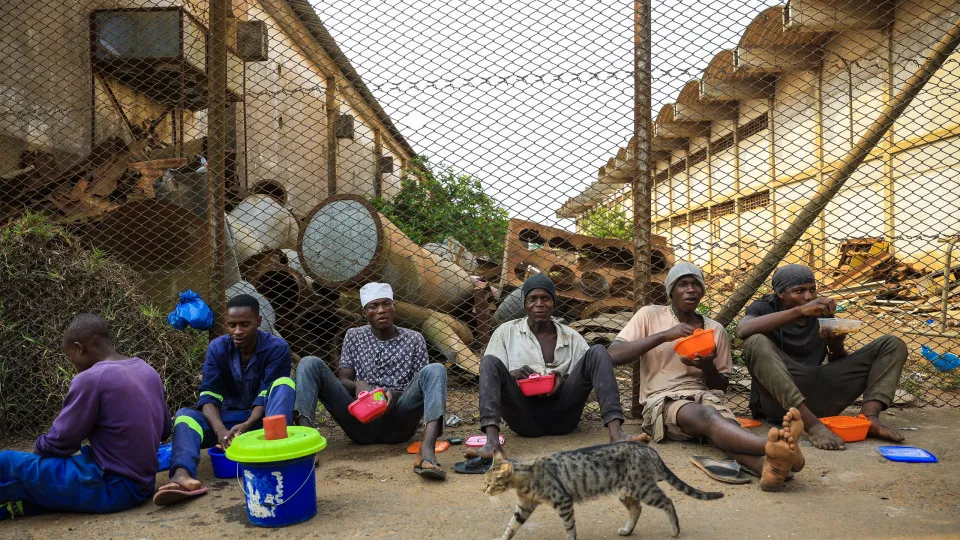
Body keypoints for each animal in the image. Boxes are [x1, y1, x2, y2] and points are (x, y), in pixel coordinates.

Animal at [488, 440, 720, 536]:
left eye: (490, 483)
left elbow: (570, 528)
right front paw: (503, 538)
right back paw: (627, 530)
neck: (527, 478)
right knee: (636, 509)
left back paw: (675, 530)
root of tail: (649, 449)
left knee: (668, 502)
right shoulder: (524, 506)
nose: (484, 490)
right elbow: (511, 526)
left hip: (643, 488)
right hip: (627, 491)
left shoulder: (563, 501)